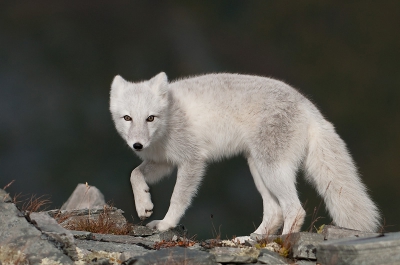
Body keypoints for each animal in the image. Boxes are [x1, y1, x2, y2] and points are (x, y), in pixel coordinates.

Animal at [110, 72, 382, 233]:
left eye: (150, 118)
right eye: (127, 118)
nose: (137, 146)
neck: (168, 121)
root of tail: (309, 107)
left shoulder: (192, 161)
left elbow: (178, 198)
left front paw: (166, 224)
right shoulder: (163, 162)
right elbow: (135, 174)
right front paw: (144, 204)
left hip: (271, 169)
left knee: (294, 210)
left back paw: (280, 245)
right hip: (257, 169)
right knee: (275, 213)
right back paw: (251, 240)